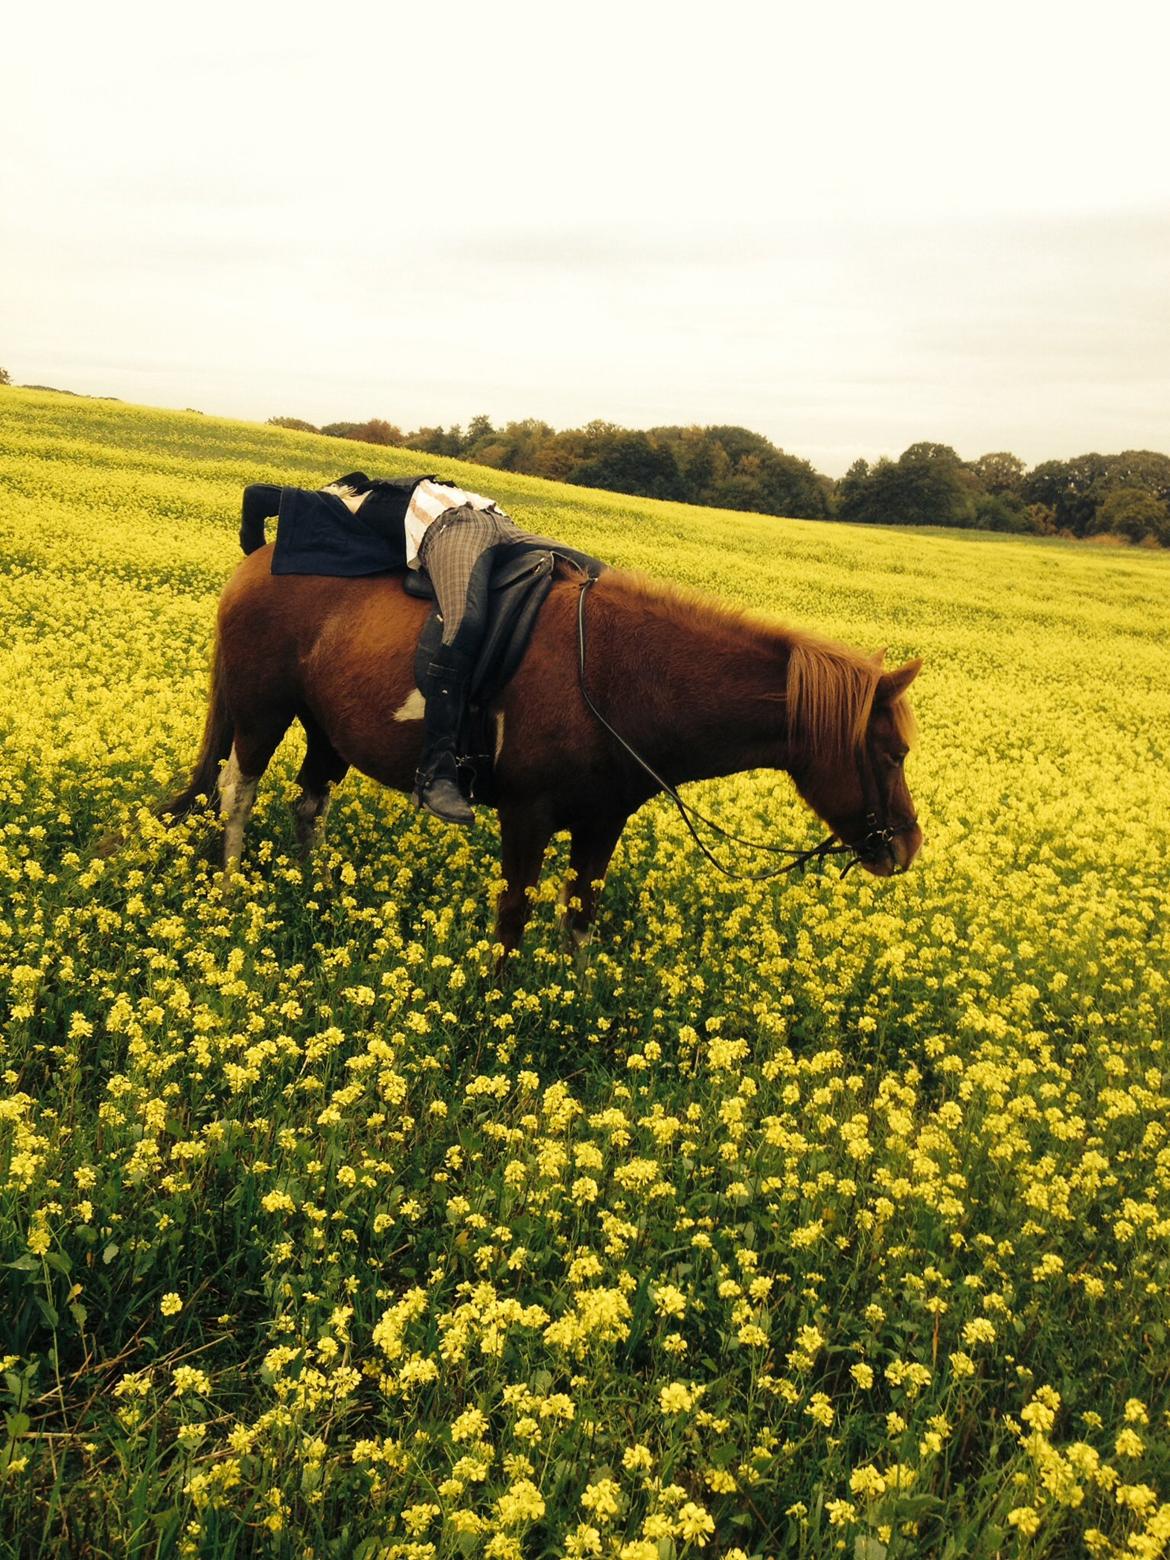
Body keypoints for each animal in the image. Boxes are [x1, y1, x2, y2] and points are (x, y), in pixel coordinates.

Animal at [160, 549, 923, 948]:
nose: (907, 848)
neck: (621, 676)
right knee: (237, 791)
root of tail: (255, 561)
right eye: (892, 754)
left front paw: (571, 1006)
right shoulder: (525, 816)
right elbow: (513, 917)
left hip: (325, 727)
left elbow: (580, 918)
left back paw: (311, 887)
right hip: (263, 711)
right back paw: (229, 890)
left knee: (309, 802)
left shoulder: (602, 822)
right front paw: (497, 1011)